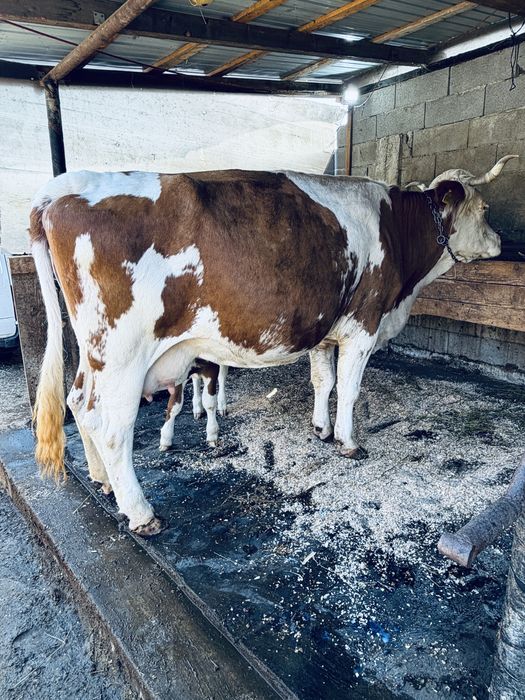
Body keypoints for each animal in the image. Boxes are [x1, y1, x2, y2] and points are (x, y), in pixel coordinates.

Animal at [30, 159, 512, 535]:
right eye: (485, 208)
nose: (502, 243)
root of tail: (64, 187)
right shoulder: (363, 323)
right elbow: (349, 389)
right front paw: (348, 441)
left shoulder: (323, 329)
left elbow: (323, 380)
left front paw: (320, 428)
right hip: (122, 353)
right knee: (110, 425)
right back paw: (141, 512)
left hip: (94, 351)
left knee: (78, 402)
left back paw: (101, 479)